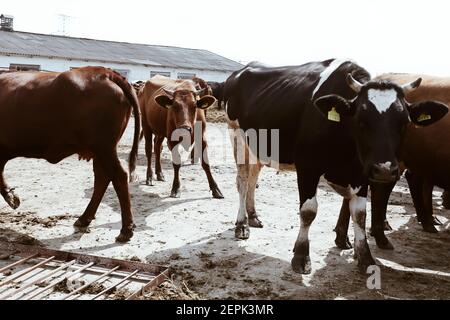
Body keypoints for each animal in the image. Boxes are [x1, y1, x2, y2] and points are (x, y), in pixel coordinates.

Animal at [0, 67, 141, 242]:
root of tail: (104, 72)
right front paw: (12, 197)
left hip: (104, 147)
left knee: (118, 176)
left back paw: (126, 229)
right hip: (100, 151)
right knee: (102, 177)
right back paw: (84, 219)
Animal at [223, 58, 448, 274]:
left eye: (404, 123)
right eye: (361, 120)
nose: (385, 170)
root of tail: (241, 71)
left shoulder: (361, 173)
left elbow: (360, 214)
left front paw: (365, 258)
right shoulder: (307, 167)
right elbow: (308, 211)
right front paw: (301, 256)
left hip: (257, 146)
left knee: (253, 177)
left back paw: (253, 216)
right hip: (237, 137)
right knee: (243, 181)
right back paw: (242, 224)